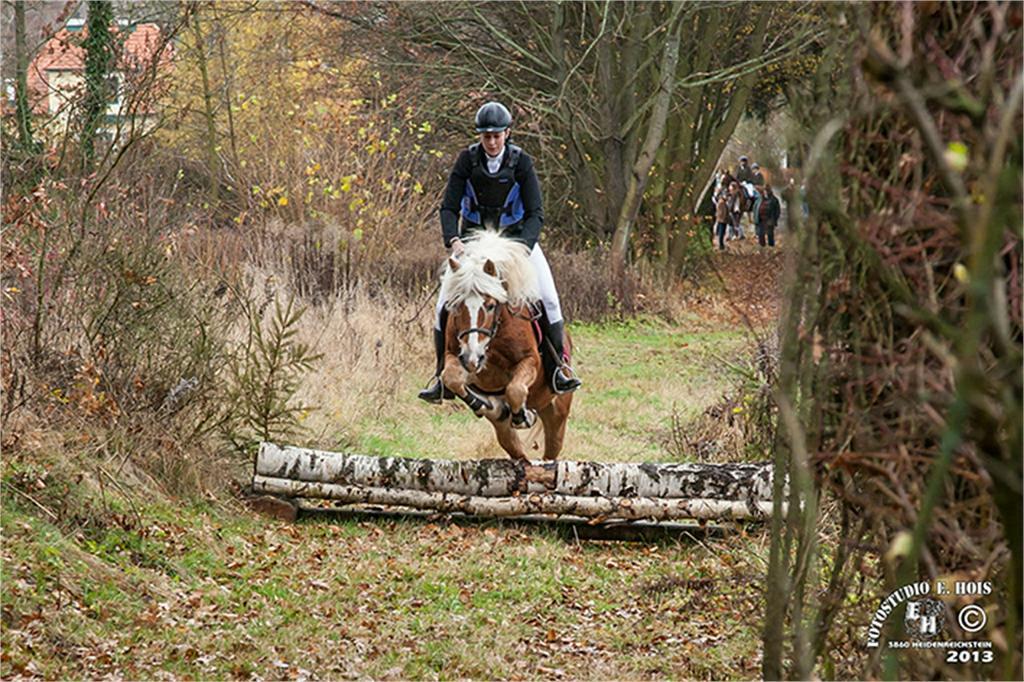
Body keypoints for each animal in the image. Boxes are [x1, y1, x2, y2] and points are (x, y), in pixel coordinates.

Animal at [436, 231, 573, 458]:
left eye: (491, 305)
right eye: (456, 305)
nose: (472, 358)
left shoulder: (530, 361)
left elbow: (515, 389)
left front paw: (524, 416)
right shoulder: (456, 358)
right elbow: (452, 378)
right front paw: (483, 404)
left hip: (557, 412)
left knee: (551, 452)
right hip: (505, 431)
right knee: (517, 452)